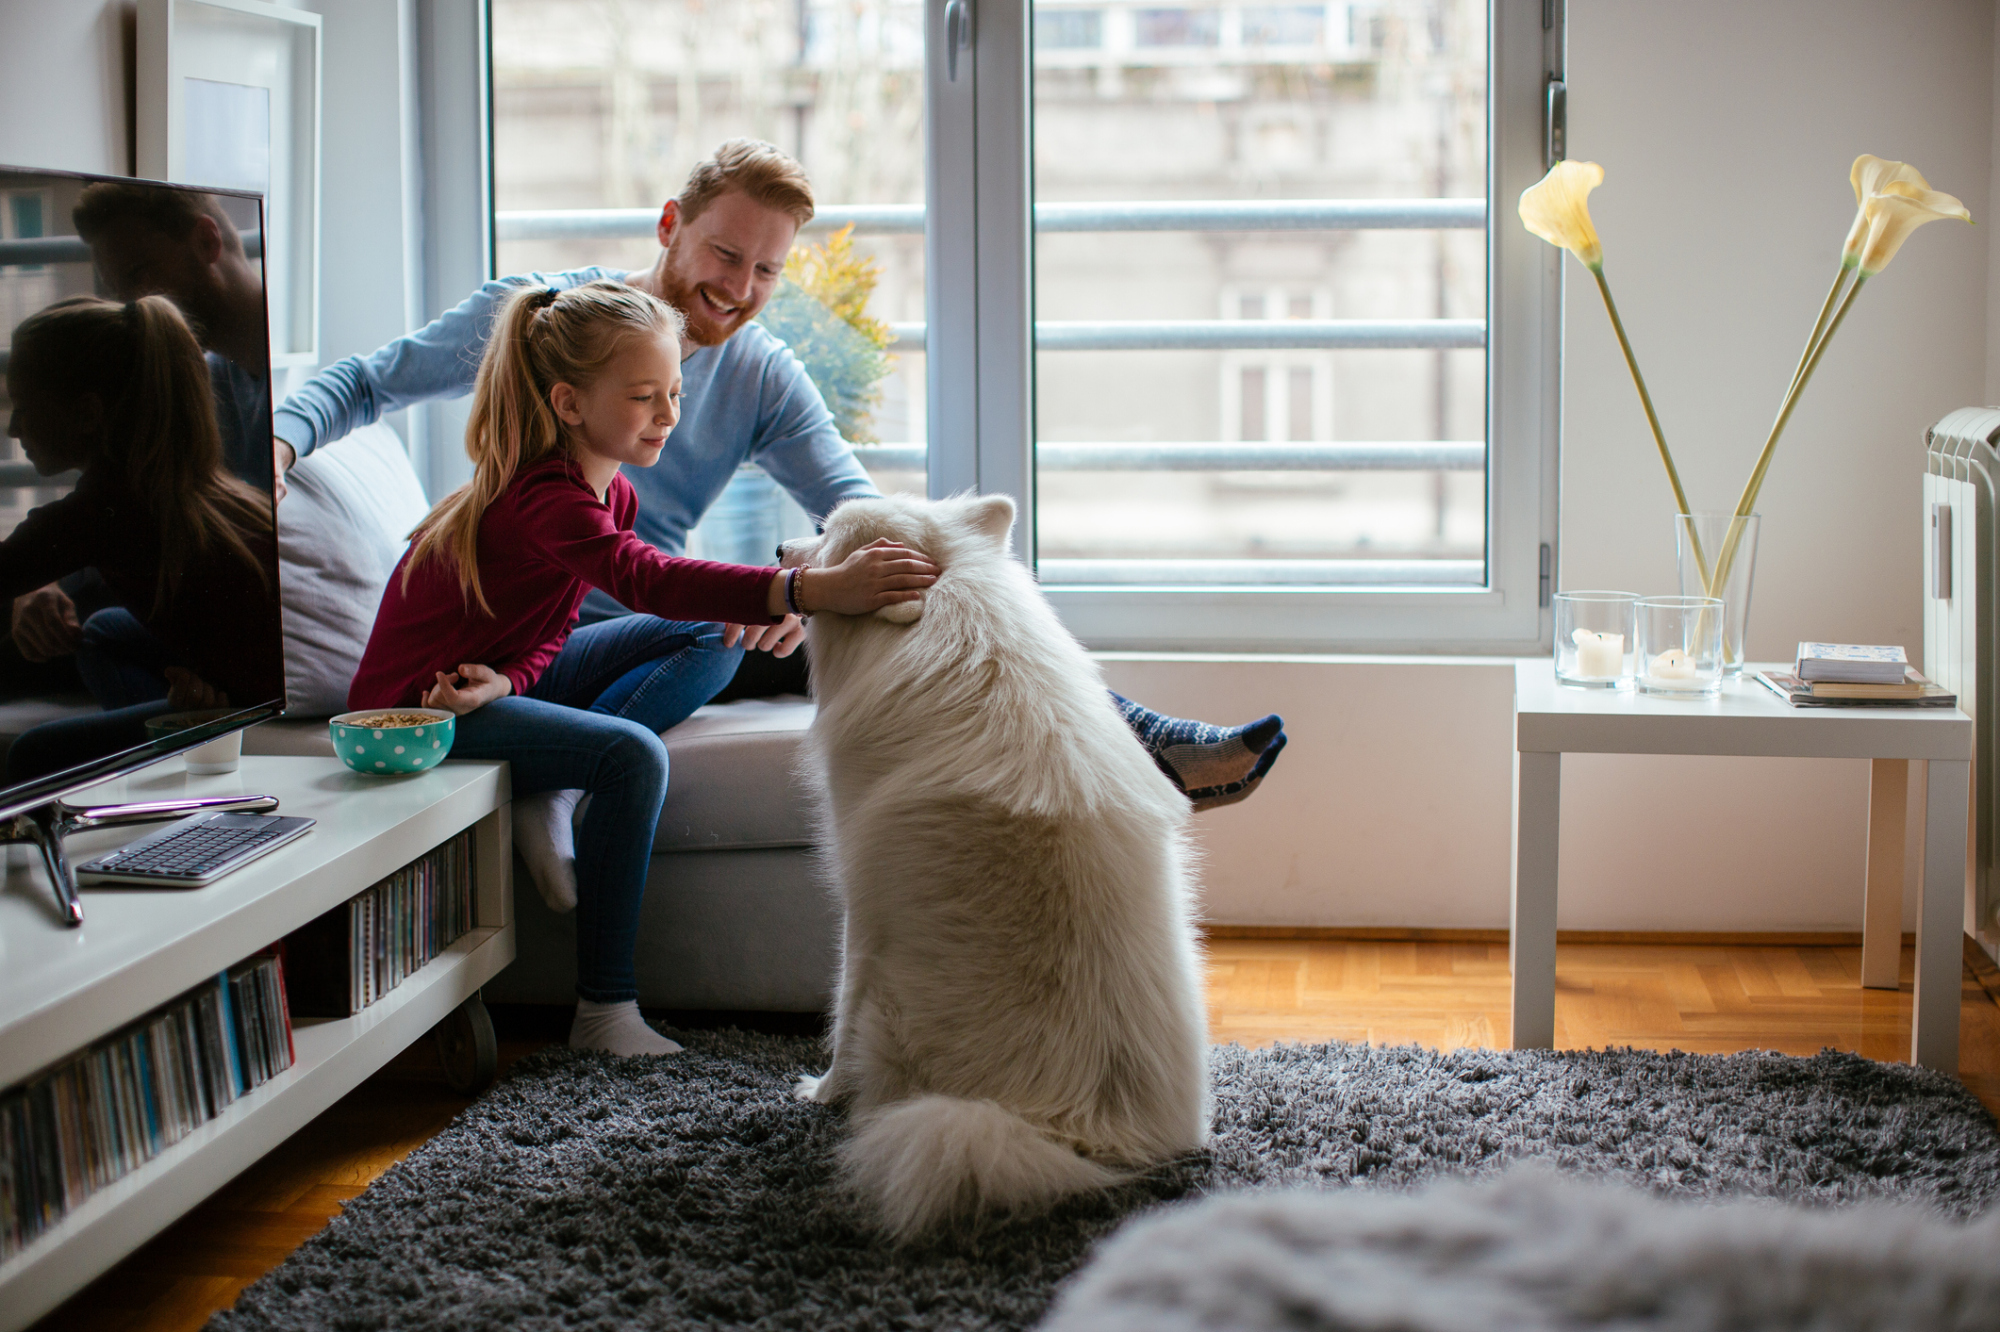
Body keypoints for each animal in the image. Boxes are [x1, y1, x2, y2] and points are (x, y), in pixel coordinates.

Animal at [788, 492, 1208, 1240]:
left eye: (825, 536)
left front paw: (823, 1091)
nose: (780, 557)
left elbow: (839, 1005)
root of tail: (1075, 1131)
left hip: (893, 1019)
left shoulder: (862, 911)